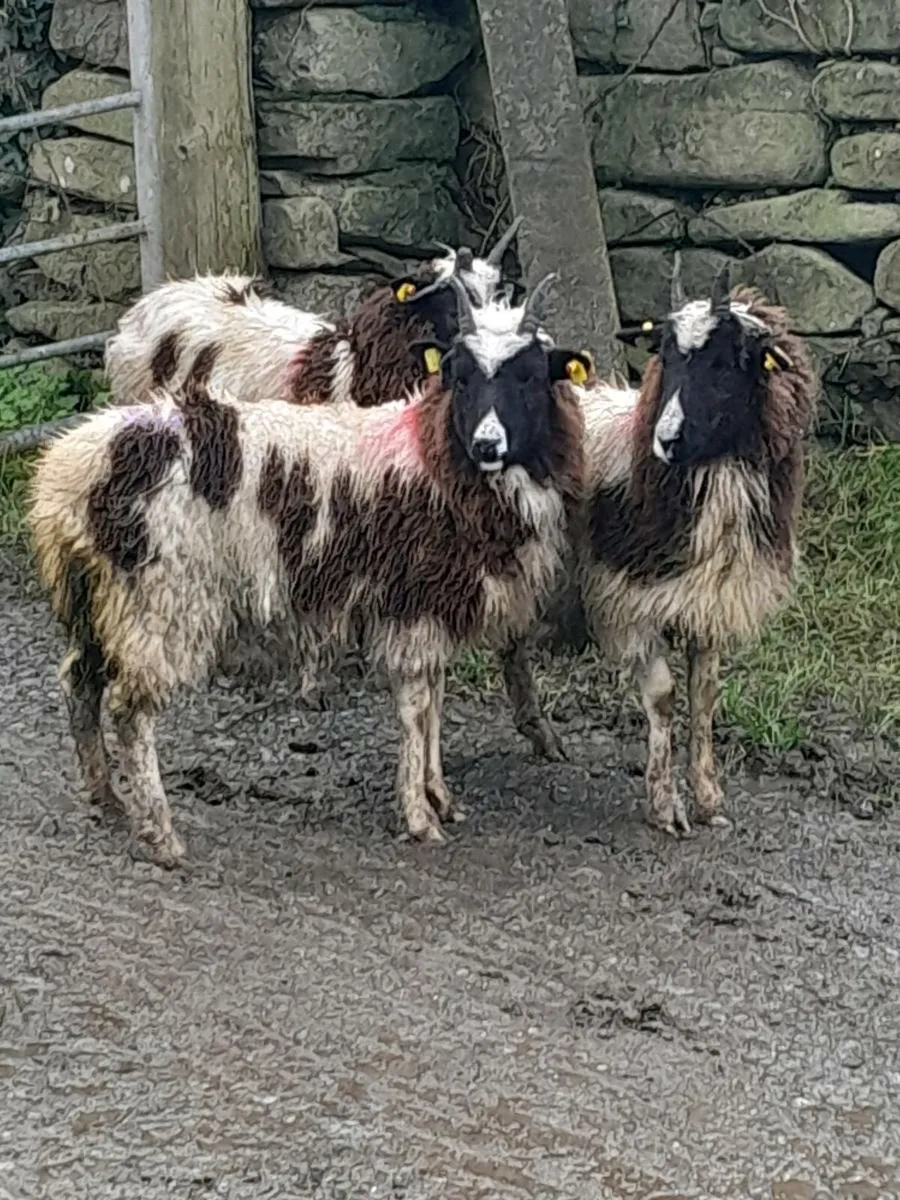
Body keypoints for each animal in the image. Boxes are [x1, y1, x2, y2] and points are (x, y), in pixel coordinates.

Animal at [29, 273, 591, 866]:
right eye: (458, 376)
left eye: (531, 375)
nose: (487, 444)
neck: (439, 458)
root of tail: (70, 468)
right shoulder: (414, 603)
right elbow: (417, 709)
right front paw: (420, 815)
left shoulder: (431, 605)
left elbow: (434, 704)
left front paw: (439, 796)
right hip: (159, 597)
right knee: (129, 708)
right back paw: (160, 833)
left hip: (95, 594)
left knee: (79, 681)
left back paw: (106, 797)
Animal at [565, 260, 818, 835]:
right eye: (667, 356)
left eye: (726, 363)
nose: (666, 439)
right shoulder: (630, 601)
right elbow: (663, 698)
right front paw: (665, 806)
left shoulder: (709, 600)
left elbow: (704, 698)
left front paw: (708, 798)